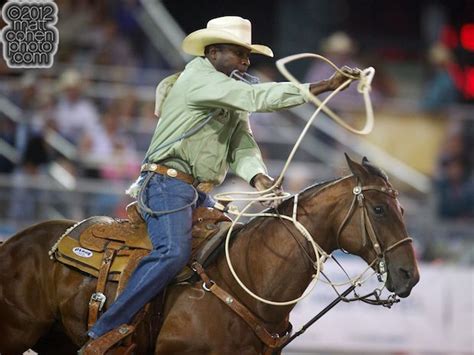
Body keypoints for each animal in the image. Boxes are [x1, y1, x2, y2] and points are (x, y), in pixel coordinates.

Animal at [0, 157, 418, 354]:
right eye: (379, 209)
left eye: (402, 208)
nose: (409, 275)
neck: (245, 282)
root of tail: (15, 242)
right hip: (15, 332)